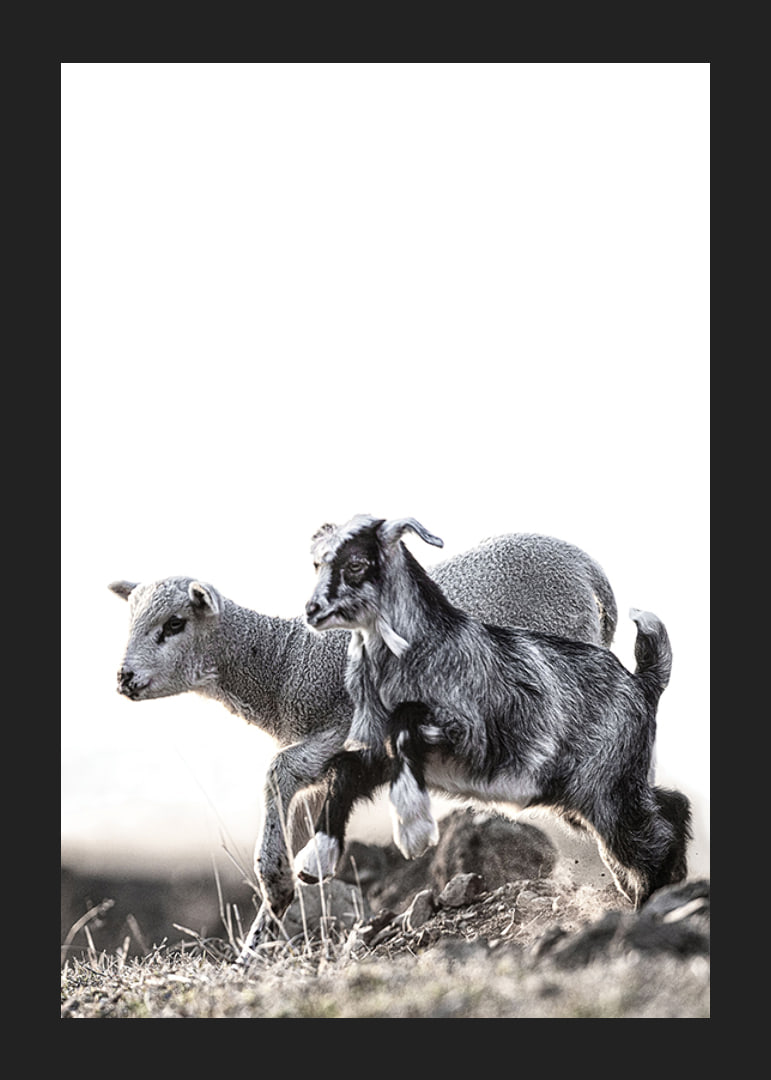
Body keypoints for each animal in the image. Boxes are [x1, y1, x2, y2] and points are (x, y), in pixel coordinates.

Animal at [110, 530, 617, 953]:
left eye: (174, 624)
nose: (124, 678)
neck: (284, 664)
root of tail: (586, 565)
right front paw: (261, 934)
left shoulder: (339, 728)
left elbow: (279, 774)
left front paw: (275, 896)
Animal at [296, 515, 692, 909]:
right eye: (317, 562)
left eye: (356, 563)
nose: (311, 611)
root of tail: (643, 682)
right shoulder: (376, 751)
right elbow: (346, 770)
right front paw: (314, 861)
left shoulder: (469, 736)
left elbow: (405, 724)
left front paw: (414, 829)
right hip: (595, 791)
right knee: (669, 806)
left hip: (606, 789)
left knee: (649, 837)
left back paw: (652, 900)